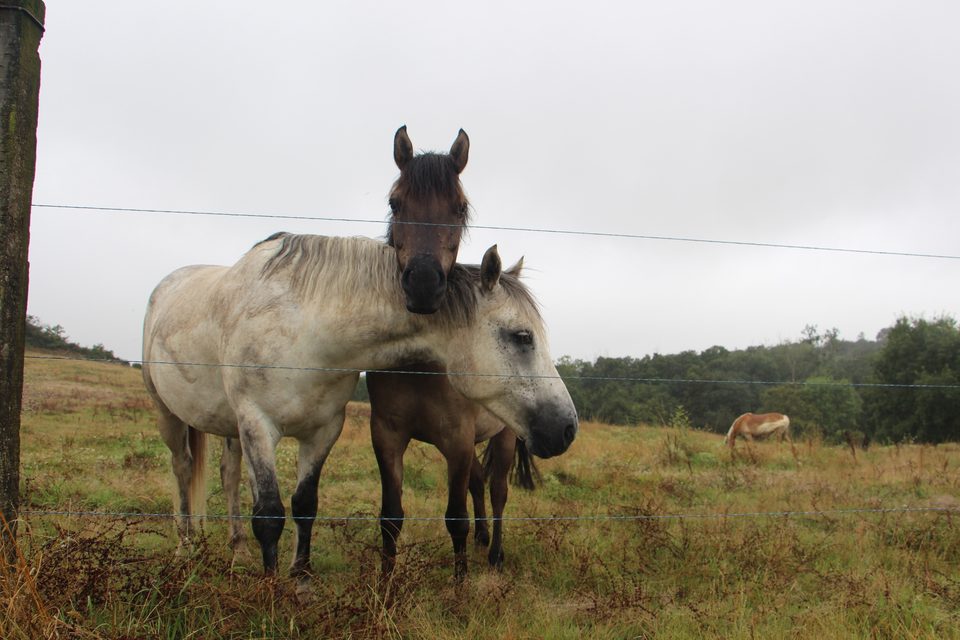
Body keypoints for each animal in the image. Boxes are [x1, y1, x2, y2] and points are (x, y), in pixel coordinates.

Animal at [367, 357, 539, 580]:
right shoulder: (386, 435)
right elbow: (390, 518)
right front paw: (385, 582)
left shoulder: (459, 438)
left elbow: (457, 519)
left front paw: (461, 581)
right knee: (477, 480)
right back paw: (482, 537)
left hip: (504, 433)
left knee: (498, 491)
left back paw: (496, 557)